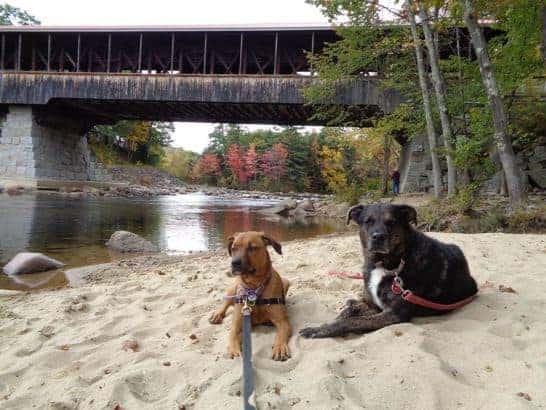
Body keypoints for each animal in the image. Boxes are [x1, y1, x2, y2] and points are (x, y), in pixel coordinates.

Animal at [208, 232, 292, 360]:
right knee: (226, 303)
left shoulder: (283, 322)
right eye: (234, 248)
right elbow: (232, 335)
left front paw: (279, 348)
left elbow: (281, 335)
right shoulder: (237, 324)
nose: (235, 263)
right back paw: (217, 314)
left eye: (252, 248)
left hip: (286, 281)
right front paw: (234, 350)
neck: (254, 288)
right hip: (233, 288)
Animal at [298, 203, 476, 338]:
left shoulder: (393, 313)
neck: (383, 264)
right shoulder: (372, 304)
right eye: (368, 221)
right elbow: (347, 313)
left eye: (391, 222)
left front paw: (320, 330)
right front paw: (324, 325)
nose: (378, 237)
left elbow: (352, 321)